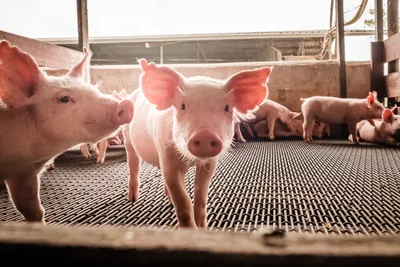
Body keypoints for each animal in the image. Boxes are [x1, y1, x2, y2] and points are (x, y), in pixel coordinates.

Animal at [122, 59, 272, 229]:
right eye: (182, 106)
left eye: (227, 107)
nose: (205, 135)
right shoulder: (167, 157)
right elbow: (183, 200)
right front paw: (190, 229)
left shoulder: (210, 163)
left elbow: (201, 195)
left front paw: (202, 227)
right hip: (127, 137)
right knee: (133, 164)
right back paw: (133, 198)